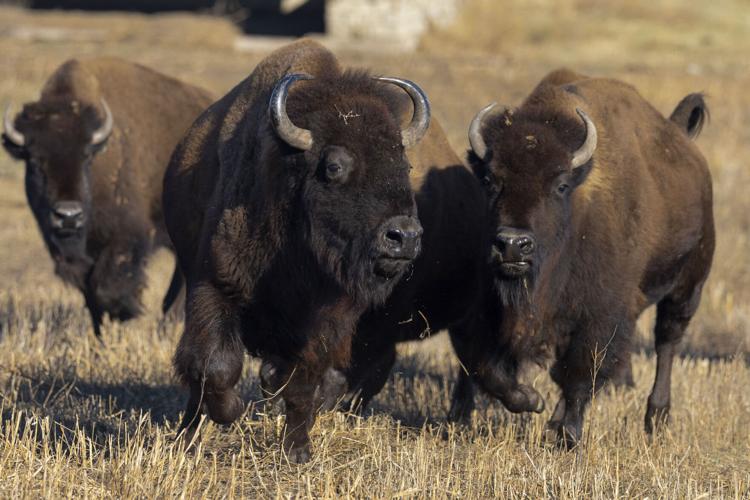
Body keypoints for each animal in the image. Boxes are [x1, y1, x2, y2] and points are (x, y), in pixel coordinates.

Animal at [2, 57, 213, 336]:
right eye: (35, 162)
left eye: (86, 158)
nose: (68, 216)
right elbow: (91, 293)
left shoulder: (129, 236)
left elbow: (107, 286)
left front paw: (125, 313)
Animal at [163, 39, 438, 462]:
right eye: (335, 166)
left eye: (404, 164)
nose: (404, 236)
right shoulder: (216, 285)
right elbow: (215, 366)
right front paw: (231, 411)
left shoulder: (328, 320)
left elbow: (303, 382)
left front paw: (297, 450)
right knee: (197, 381)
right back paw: (187, 437)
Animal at [462, 68, 714, 446]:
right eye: (491, 179)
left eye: (561, 184)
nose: (512, 244)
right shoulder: (498, 310)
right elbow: (489, 369)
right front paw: (533, 402)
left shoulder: (600, 311)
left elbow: (581, 373)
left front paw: (567, 436)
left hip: (688, 286)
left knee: (667, 341)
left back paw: (655, 418)